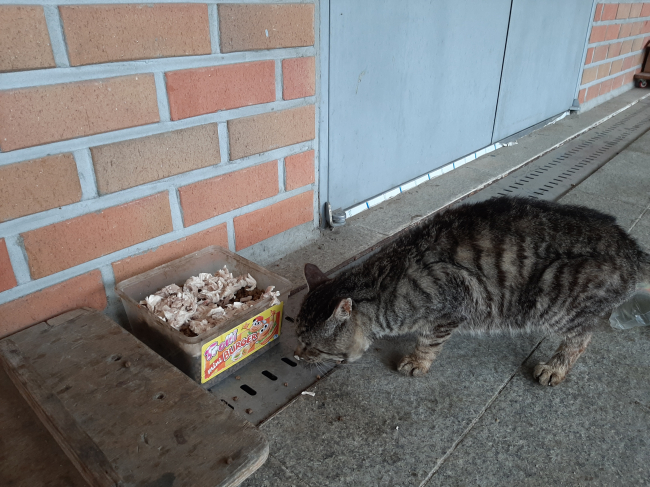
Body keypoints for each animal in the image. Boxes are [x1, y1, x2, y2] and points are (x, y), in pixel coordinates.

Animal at [294, 196, 650, 386]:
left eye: (311, 345)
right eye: (297, 337)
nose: (296, 356)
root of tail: (630, 247)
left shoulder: (454, 303)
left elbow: (429, 340)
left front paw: (418, 360)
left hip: (557, 298)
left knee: (580, 339)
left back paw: (555, 367)